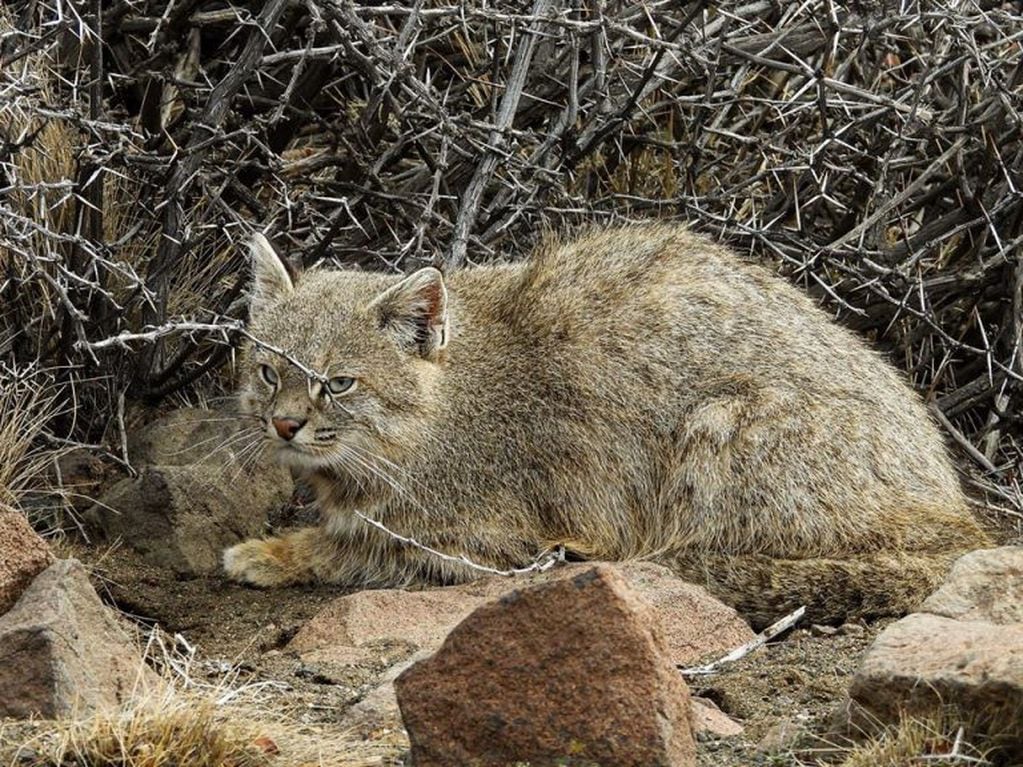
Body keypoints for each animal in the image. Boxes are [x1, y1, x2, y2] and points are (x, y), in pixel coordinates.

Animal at [221, 224, 982, 625]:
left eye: (338, 382)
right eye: (268, 371)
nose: (284, 425)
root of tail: (958, 516)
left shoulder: (489, 542)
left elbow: (352, 546)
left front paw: (273, 551)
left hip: (721, 428)